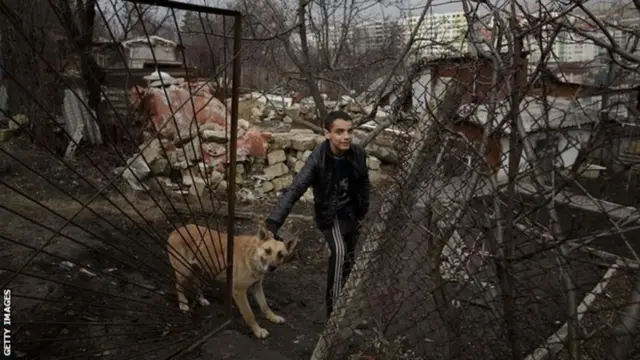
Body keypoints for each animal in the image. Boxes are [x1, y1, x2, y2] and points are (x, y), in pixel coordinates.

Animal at [164, 224, 296, 338]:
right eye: (267, 251)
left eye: (280, 255)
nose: (272, 268)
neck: (252, 255)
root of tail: (176, 230)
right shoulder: (239, 292)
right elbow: (249, 315)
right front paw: (257, 330)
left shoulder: (256, 287)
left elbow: (264, 305)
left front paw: (273, 317)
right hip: (184, 271)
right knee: (178, 286)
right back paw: (183, 303)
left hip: (200, 271)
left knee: (196, 285)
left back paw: (201, 300)